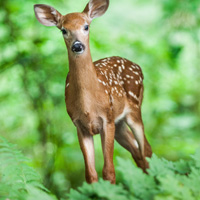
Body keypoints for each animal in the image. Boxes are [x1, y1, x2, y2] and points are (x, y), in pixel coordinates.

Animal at [33, 0, 152, 184]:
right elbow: (90, 174)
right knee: (138, 152)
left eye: (86, 26)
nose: (77, 46)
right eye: (63, 30)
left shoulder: (107, 120)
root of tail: (138, 66)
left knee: (146, 149)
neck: (88, 106)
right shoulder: (79, 125)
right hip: (119, 124)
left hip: (134, 110)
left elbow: (109, 171)